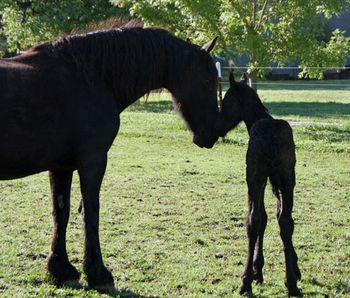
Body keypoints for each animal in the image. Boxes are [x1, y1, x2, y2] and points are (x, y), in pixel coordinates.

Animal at [216, 71, 300, 296]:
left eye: (226, 101)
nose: (219, 127)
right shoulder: (277, 181)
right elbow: (278, 217)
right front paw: (294, 270)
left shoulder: (258, 180)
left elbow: (260, 219)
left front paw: (256, 271)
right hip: (287, 178)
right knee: (286, 221)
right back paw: (291, 283)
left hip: (254, 177)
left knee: (253, 220)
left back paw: (245, 282)